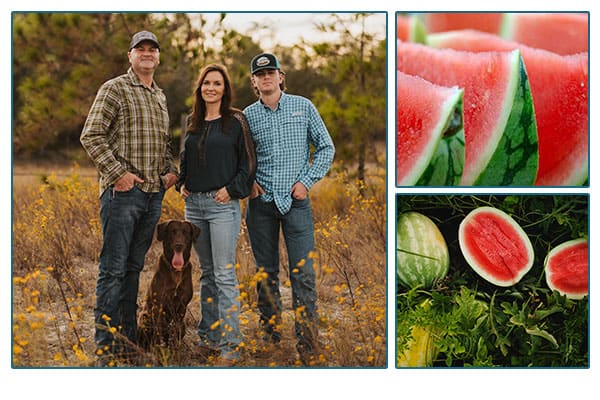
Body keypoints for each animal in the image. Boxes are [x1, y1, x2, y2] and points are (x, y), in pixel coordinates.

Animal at [138, 220, 199, 348]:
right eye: (172, 231)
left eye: (186, 232)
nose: (179, 246)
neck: (176, 270)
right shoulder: (158, 305)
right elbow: (158, 330)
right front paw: (158, 349)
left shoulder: (182, 305)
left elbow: (177, 329)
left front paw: (176, 348)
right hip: (144, 317)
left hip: (183, 325)